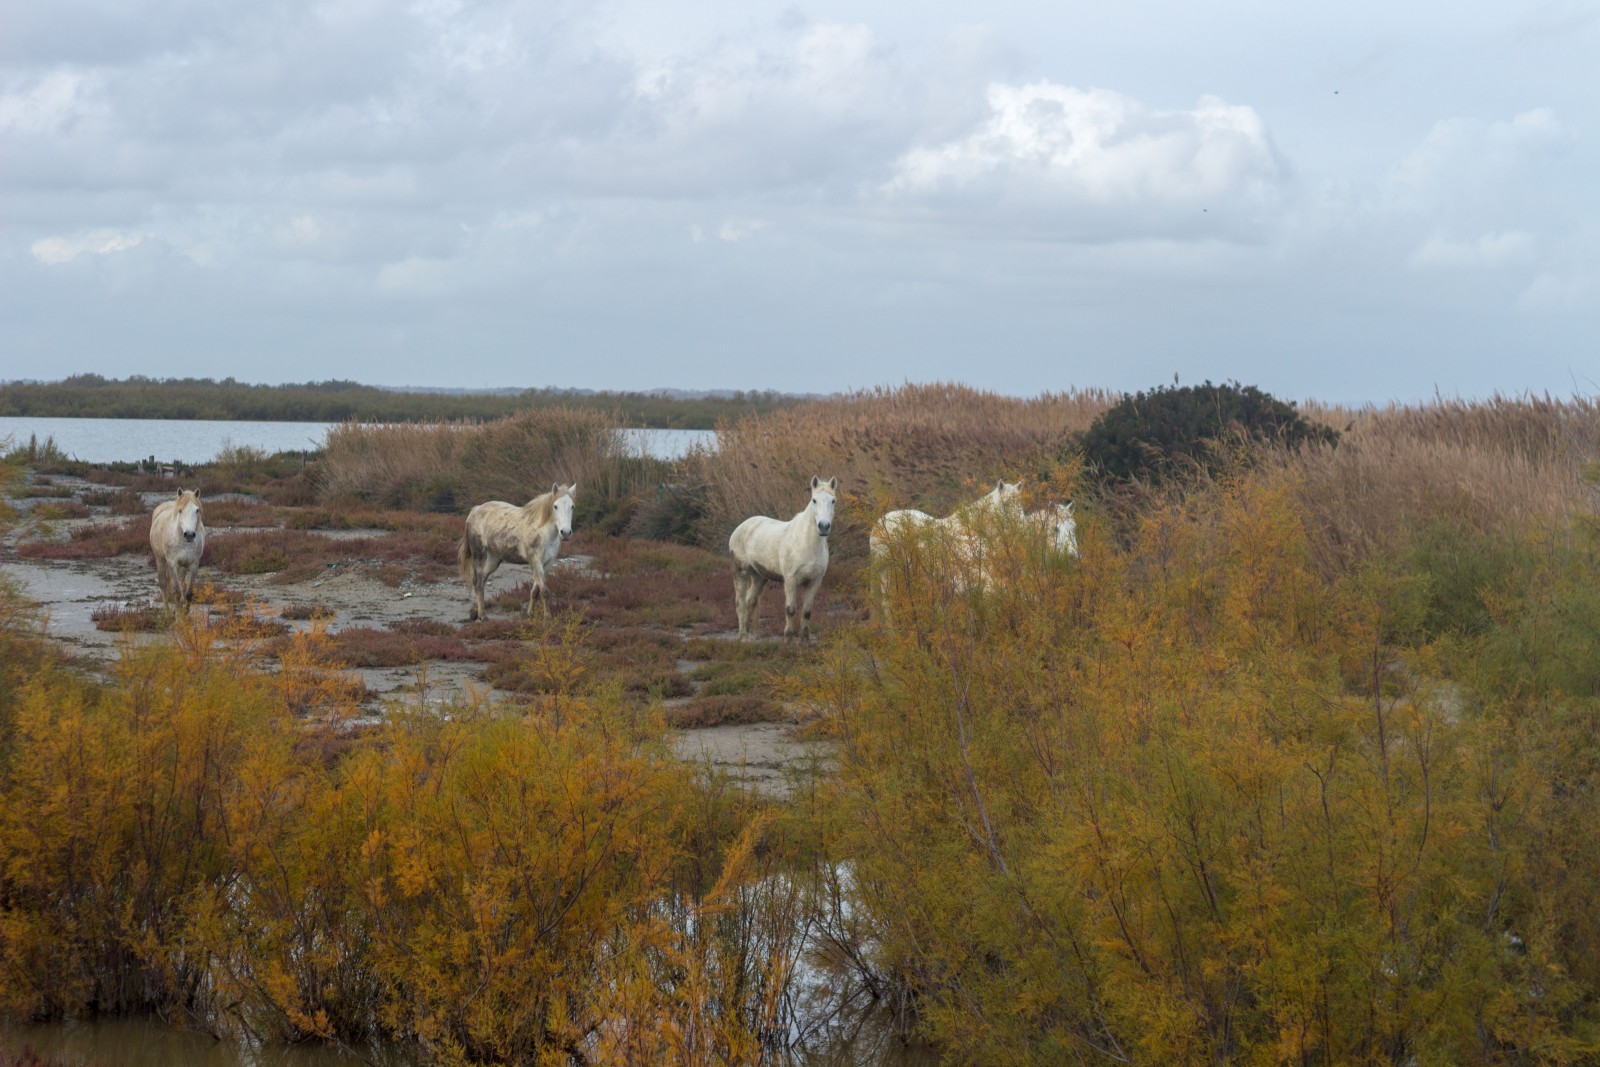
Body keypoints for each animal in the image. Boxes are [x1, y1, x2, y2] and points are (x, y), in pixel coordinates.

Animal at [460, 483, 579, 620]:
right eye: (555, 506)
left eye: (572, 506)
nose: (565, 532)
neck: (543, 533)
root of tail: (475, 510)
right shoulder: (535, 562)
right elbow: (544, 591)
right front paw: (547, 617)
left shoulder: (547, 564)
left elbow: (535, 591)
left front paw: (529, 614)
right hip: (478, 554)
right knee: (478, 583)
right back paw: (483, 616)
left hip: (493, 560)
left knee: (482, 580)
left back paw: (475, 611)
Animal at [732, 476, 838, 643]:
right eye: (814, 500)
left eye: (833, 501)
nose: (823, 526)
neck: (806, 543)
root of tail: (742, 526)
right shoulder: (790, 580)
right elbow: (791, 609)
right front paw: (788, 640)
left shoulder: (814, 581)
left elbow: (807, 611)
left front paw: (805, 641)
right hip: (740, 572)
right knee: (740, 603)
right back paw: (743, 637)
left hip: (759, 577)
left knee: (750, 600)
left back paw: (749, 633)